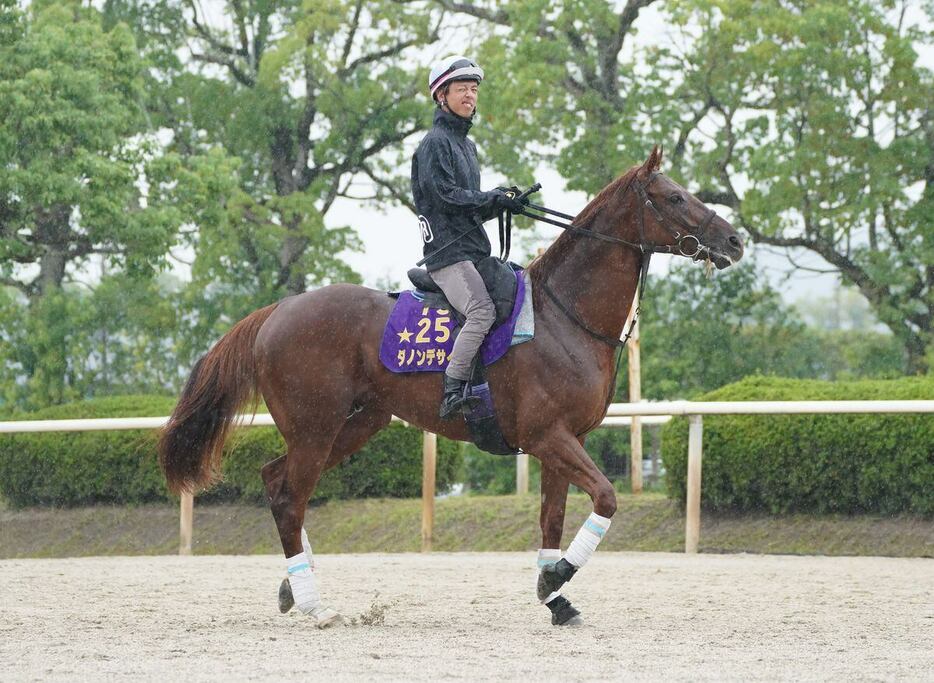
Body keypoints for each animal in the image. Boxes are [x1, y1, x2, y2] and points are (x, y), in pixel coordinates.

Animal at [159, 147, 744, 628]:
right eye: (674, 197)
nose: (735, 240)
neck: (564, 315)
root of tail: (277, 311)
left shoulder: (562, 442)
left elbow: (552, 519)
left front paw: (555, 595)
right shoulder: (547, 437)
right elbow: (606, 497)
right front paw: (556, 578)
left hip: (353, 425)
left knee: (279, 483)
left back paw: (291, 586)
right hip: (315, 429)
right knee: (288, 496)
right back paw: (314, 604)